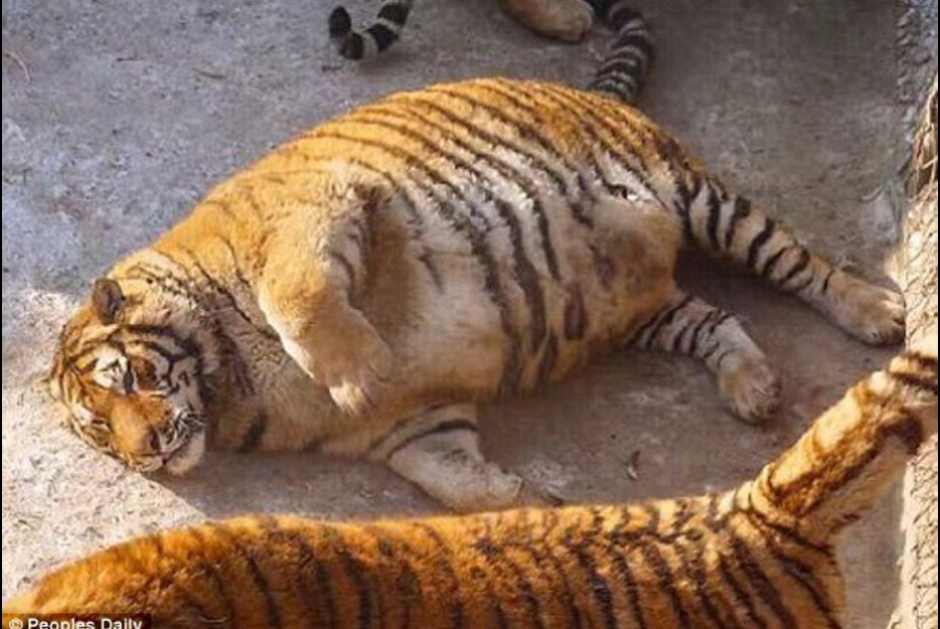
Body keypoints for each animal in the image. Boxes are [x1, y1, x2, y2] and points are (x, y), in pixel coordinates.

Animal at [46, 40, 905, 513]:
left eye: (129, 378)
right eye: (100, 427)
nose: (149, 453)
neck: (232, 389)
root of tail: (586, 86)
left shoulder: (314, 214)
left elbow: (301, 299)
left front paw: (361, 371)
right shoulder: (412, 425)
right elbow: (450, 480)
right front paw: (523, 499)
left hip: (700, 198)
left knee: (801, 264)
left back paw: (879, 311)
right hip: (646, 312)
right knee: (716, 319)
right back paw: (754, 388)